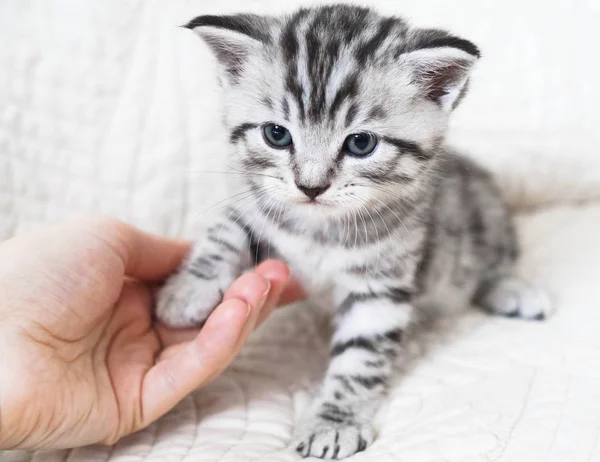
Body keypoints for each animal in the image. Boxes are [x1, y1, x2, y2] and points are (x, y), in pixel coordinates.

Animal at [157, 5, 552, 460]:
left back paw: (515, 290)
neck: (320, 229)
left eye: (360, 143)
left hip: (483, 217)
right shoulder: (258, 206)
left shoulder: (380, 283)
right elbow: (225, 231)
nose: (310, 187)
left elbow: (360, 357)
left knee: (488, 263)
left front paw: (334, 421)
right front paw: (187, 290)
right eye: (276, 134)